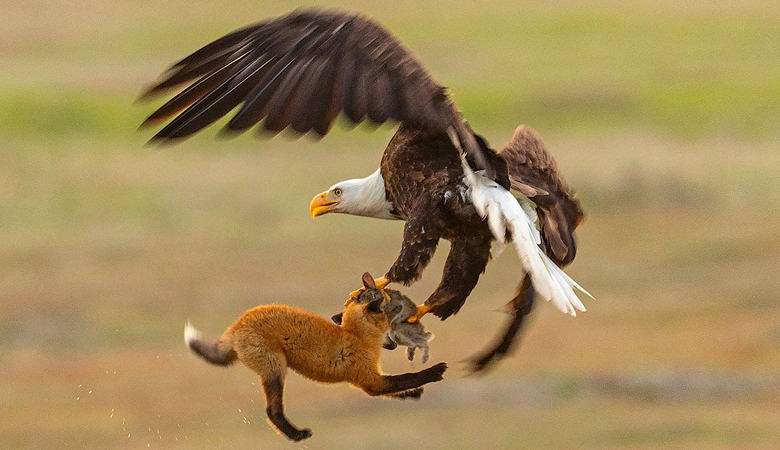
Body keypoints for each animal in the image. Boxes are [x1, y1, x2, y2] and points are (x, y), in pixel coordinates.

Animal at [184, 273, 448, 441]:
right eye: (390, 315)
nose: (393, 342)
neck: (356, 336)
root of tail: (236, 325)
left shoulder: (372, 381)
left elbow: (397, 388)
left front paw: (413, 394)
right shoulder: (369, 380)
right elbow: (408, 377)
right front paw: (435, 371)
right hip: (275, 369)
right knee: (272, 411)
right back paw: (296, 435)